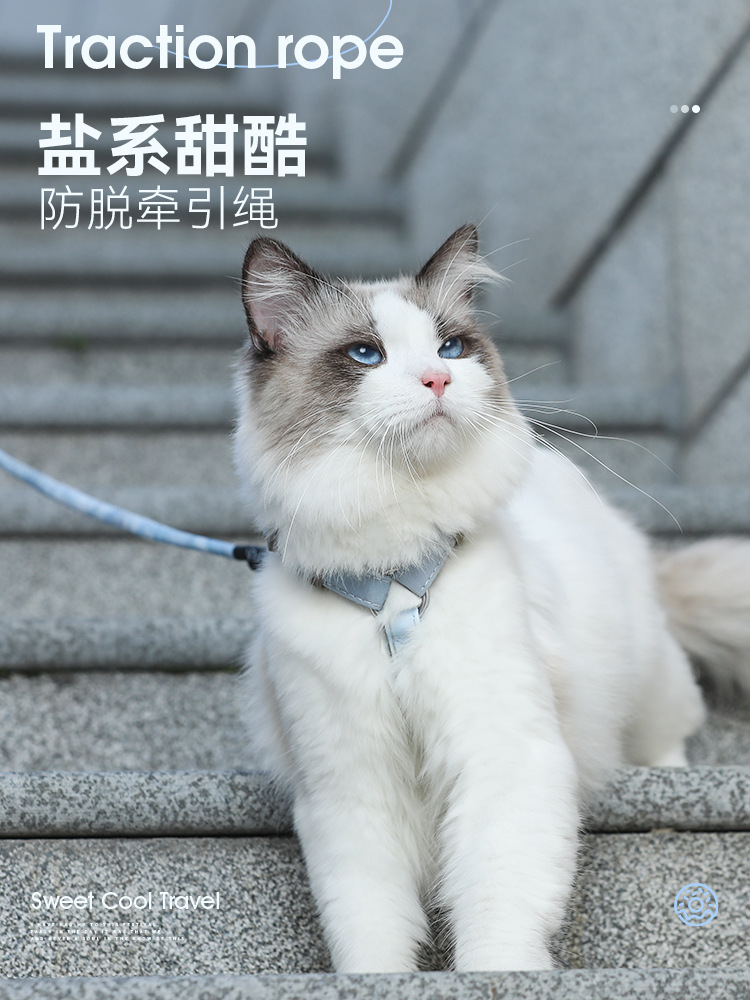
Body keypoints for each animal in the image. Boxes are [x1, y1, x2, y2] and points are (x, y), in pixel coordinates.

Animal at [233, 224, 750, 973]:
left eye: (450, 347)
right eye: (365, 354)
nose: (439, 380)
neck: (394, 580)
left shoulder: (502, 757)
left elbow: (496, 909)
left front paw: (494, 975)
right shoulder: (352, 792)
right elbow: (370, 930)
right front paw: (378, 983)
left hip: (648, 678)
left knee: (670, 733)